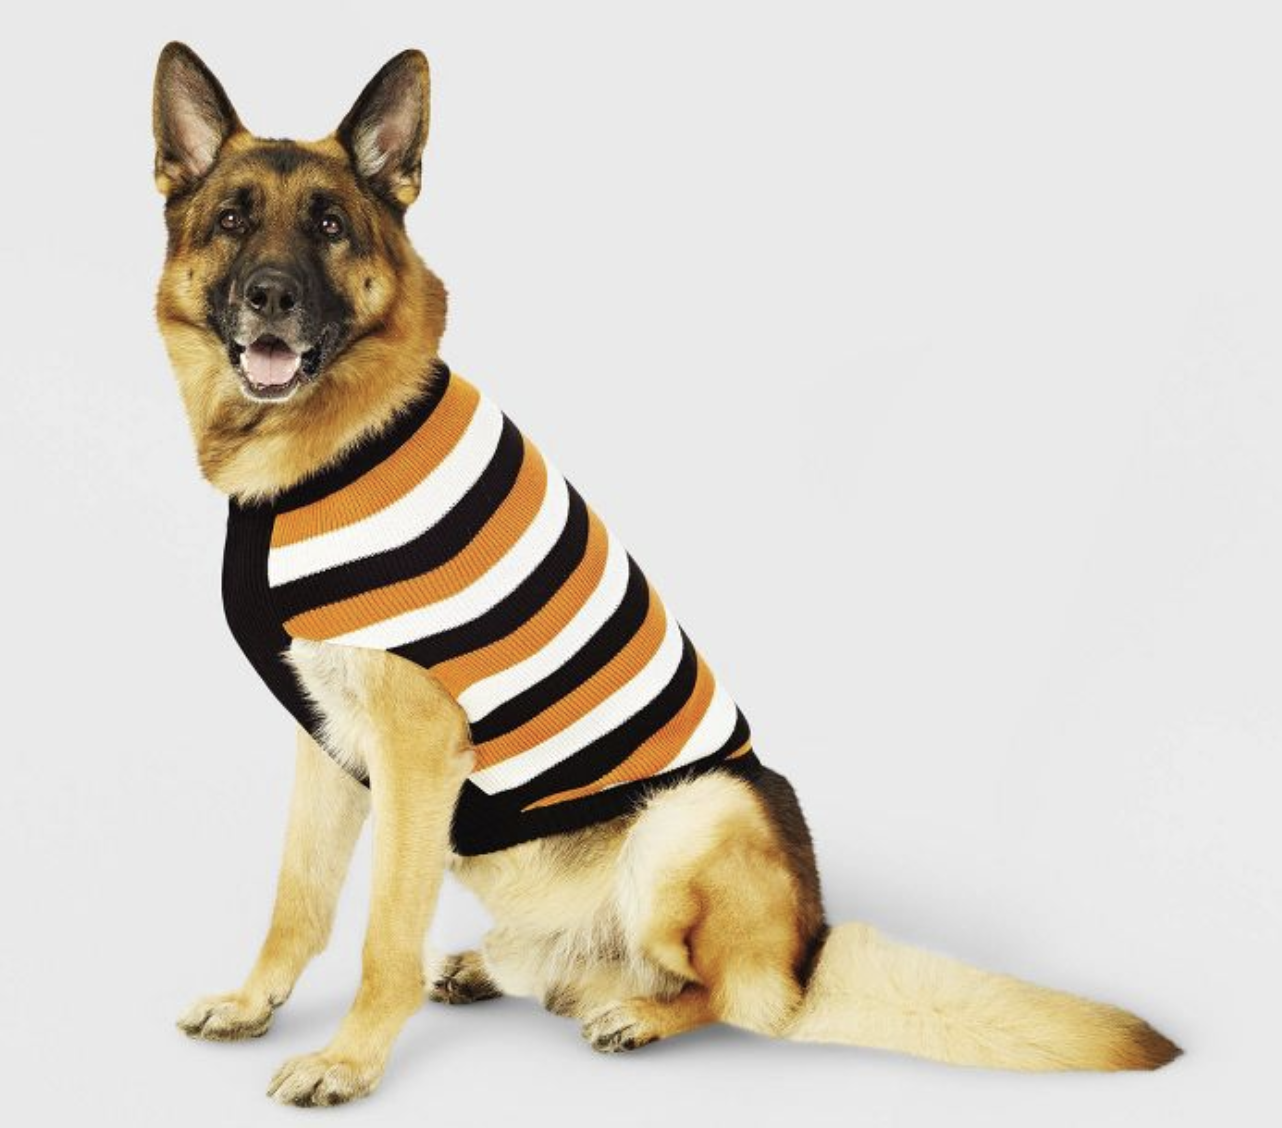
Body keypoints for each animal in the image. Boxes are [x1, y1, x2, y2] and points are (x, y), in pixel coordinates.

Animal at [152, 41, 1180, 1107]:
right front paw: (254, 1005)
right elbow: (298, 897)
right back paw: (512, 968)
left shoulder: (417, 748)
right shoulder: (327, 733)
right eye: (232, 220)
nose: (271, 297)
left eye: (329, 225)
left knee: (741, 1003)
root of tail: (809, 951)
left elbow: (383, 935)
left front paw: (349, 1060)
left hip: (693, 815)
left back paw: (640, 1013)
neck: (321, 451)